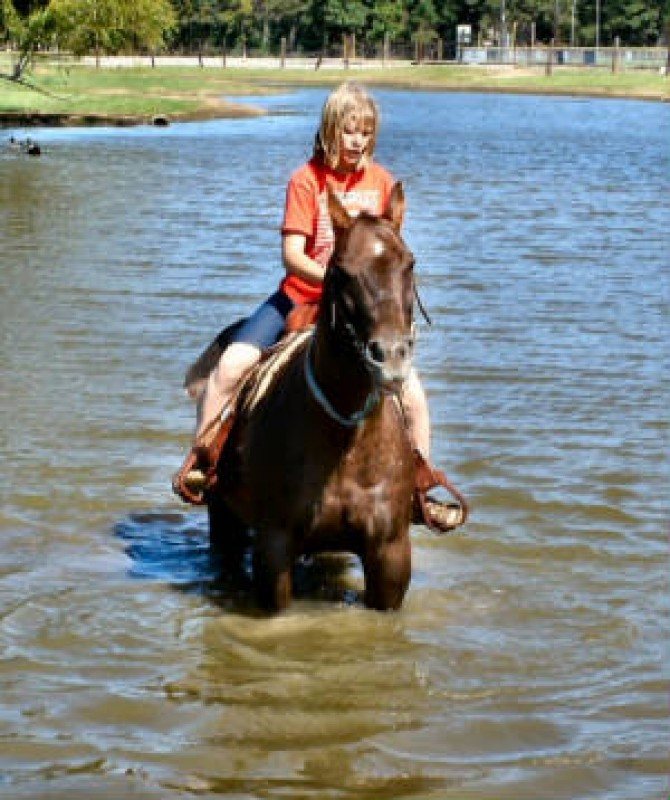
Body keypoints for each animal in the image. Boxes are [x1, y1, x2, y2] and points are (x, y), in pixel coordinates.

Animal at [205, 183, 420, 612]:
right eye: (342, 272)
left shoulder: (390, 554)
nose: (390, 356)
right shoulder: (274, 548)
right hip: (223, 518)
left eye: (409, 264)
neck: (346, 435)